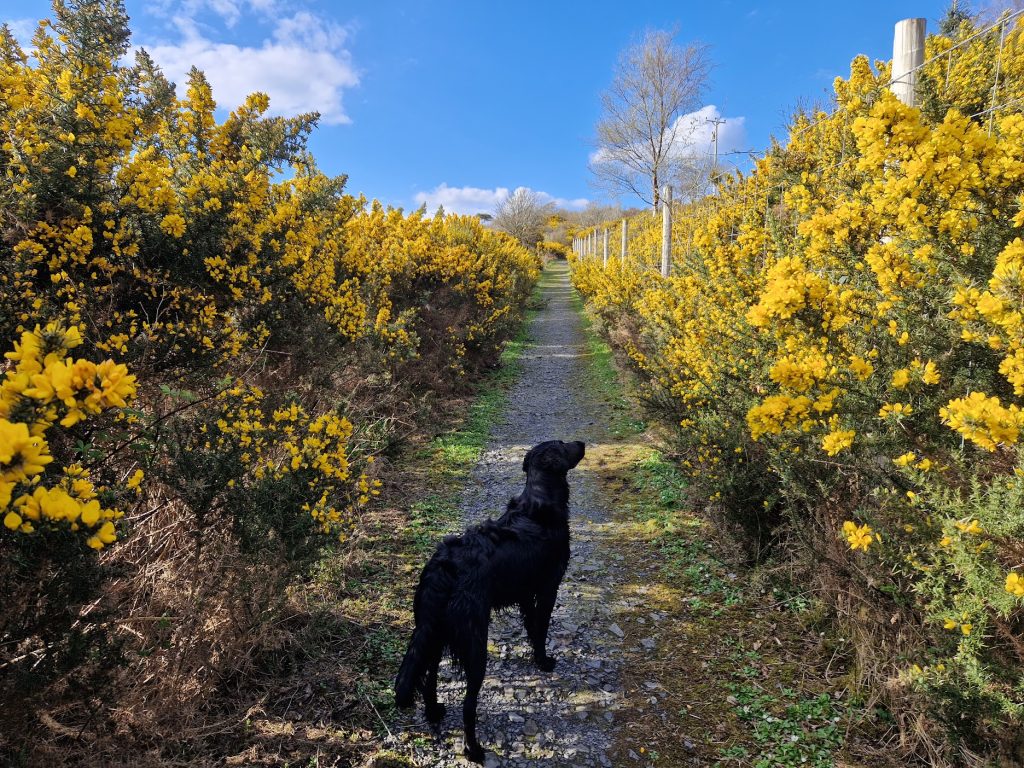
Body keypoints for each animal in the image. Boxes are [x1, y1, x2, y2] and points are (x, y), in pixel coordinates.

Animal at [391, 438, 585, 765]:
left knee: (429, 678)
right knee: (468, 706)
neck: (538, 502)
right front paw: (544, 661)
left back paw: (434, 712)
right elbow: (541, 628)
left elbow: (532, 627)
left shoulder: (525, 593)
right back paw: (474, 750)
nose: (582, 443)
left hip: (433, 632)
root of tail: (444, 567)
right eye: (563, 444)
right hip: (474, 643)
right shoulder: (548, 587)